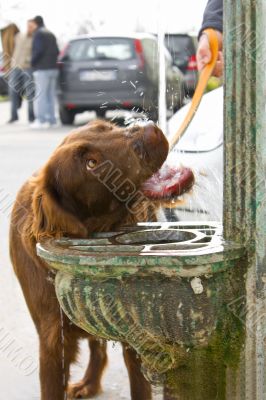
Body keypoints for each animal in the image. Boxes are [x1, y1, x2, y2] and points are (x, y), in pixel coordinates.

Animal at [9, 120, 170, 400]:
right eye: (91, 164)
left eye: (106, 127)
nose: (153, 130)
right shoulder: (52, 345)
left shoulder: (132, 333)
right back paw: (89, 383)